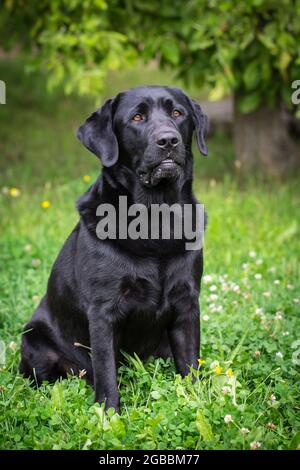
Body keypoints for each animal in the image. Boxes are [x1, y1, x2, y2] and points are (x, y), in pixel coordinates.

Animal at [19, 85, 209, 412]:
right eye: (137, 117)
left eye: (177, 113)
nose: (168, 140)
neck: (155, 218)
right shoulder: (103, 311)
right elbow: (106, 371)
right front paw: (108, 414)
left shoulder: (186, 303)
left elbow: (190, 364)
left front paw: (197, 404)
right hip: (34, 338)